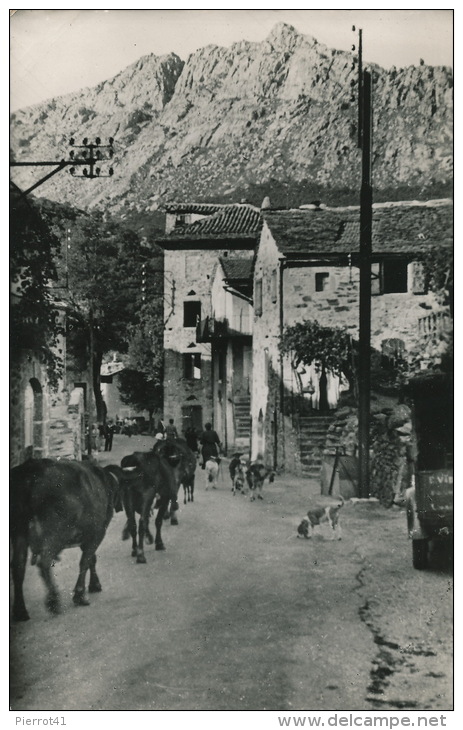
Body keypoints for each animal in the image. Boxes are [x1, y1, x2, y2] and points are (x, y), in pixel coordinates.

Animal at [10, 458, 123, 616]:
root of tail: (31, 469)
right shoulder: (97, 533)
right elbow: (85, 561)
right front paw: (80, 595)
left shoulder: (88, 536)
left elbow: (91, 559)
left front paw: (94, 585)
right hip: (54, 533)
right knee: (44, 562)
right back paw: (53, 600)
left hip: (19, 533)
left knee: (18, 567)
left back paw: (20, 611)